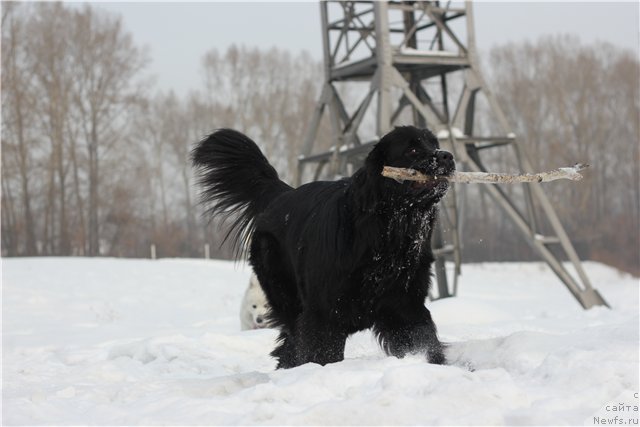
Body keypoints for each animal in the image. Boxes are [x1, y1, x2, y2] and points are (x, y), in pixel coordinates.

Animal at [192, 125, 458, 370]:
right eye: (412, 149)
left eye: (434, 144)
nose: (447, 156)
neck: (385, 232)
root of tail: (281, 193)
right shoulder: (323, 314)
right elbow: (321, 353)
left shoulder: (405, 304)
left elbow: (425, 340)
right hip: (286, 295)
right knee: (292, 338)